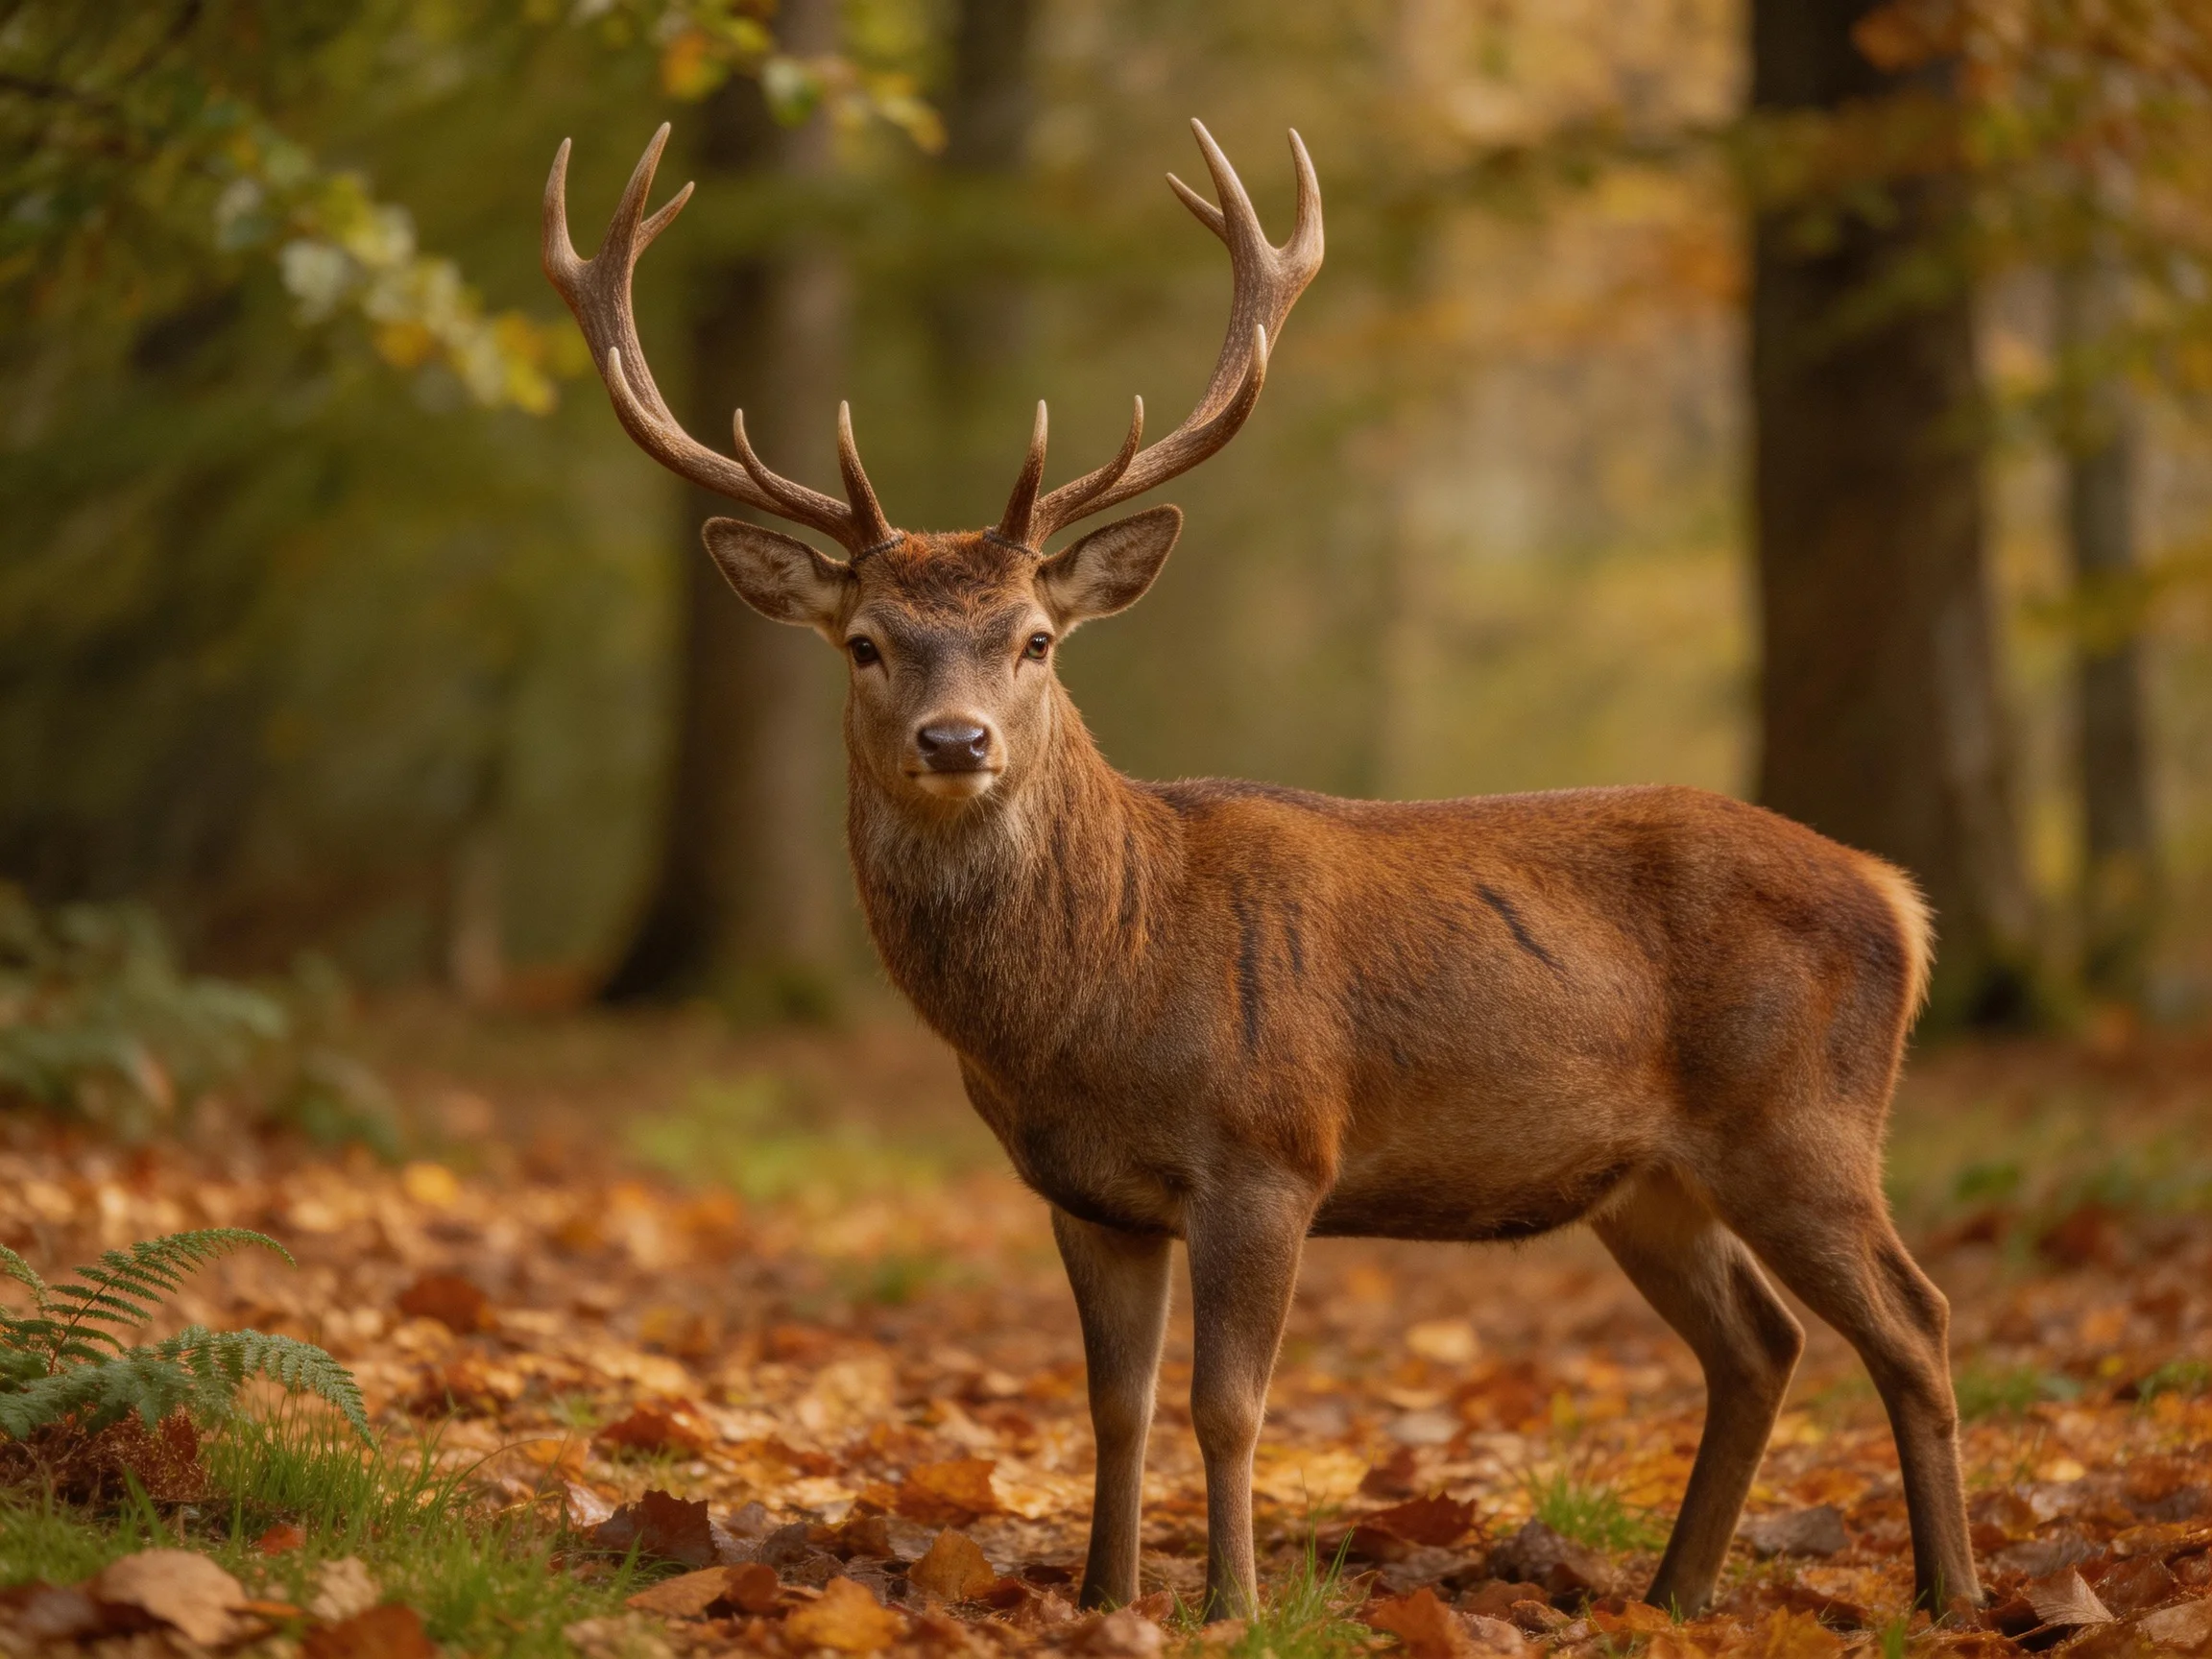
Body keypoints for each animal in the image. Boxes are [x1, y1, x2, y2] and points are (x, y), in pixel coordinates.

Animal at [544, 120, 1981, 1624]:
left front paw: (1229, 1605)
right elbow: (1111, 1407)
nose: (957, 740)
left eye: (1037, 637)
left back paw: (1952, 1593)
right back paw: (1674, 1593)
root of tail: (1900, 900)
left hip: (1802, 1120)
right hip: (1648, 1179)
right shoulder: (1084, 1193)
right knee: (1759, 1342)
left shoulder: (1272, 1150)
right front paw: (1104, 1598)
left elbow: (1227, 1405)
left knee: (1918, 1320)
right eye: (866, 642)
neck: (1099, 994)